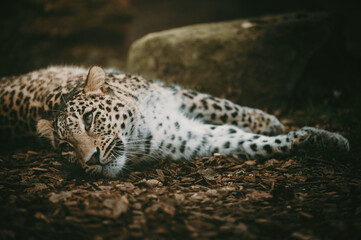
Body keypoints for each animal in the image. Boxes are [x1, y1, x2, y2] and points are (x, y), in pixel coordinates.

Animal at [0, 65, 348, 178]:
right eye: (65, 148)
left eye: (89, 118)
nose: (91, 160)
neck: (142, 125)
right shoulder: (194, 139)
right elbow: (246, 142)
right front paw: (324, 140)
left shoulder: (177, 94)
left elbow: (223, 107)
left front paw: (267, 120)